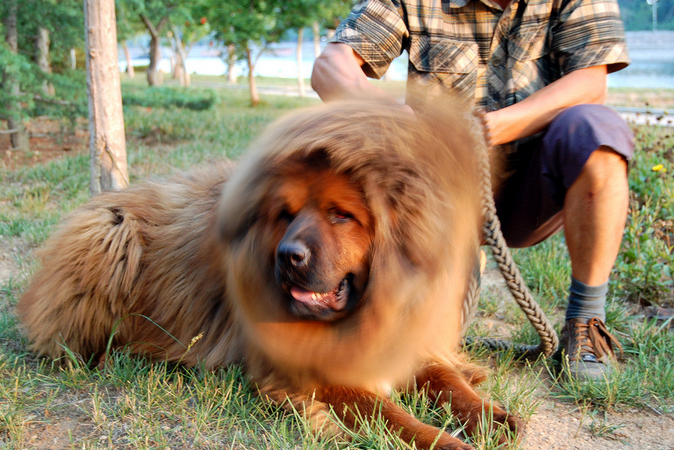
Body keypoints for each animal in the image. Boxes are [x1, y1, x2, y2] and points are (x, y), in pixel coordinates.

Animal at [15, 100, 520, 448]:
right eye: (286, 214)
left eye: (341, 215)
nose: (288, 256)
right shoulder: (319, 375)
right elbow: (390, 413)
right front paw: (443, 441)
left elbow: (448, 381)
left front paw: (491, 416)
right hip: (110, 233)